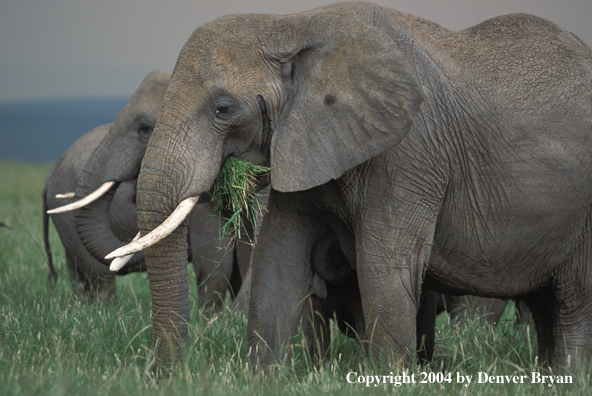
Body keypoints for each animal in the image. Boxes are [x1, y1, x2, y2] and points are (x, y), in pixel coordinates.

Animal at [106, 2, 592, 372]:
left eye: (223, 109)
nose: (165, 375)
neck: (291, 24)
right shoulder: (305, 144)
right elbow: (278, 260)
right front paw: (263, 377)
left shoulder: (409, 153)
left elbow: (386, 267)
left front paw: (388, 379)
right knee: (546, 305)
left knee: (573, 302)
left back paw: (569, 376)